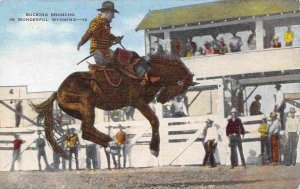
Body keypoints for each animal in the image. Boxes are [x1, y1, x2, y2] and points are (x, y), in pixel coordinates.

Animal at [31, 48, 195, 159]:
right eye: (181, 85)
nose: (162, 99)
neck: (148, 73)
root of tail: (58, 92)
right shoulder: (138, 102)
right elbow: (154, 120)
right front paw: (154, 148)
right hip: (86, 105)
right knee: (85, 129)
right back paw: (110, 143)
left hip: (79, 112)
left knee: (86, 131)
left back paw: (109, 143)